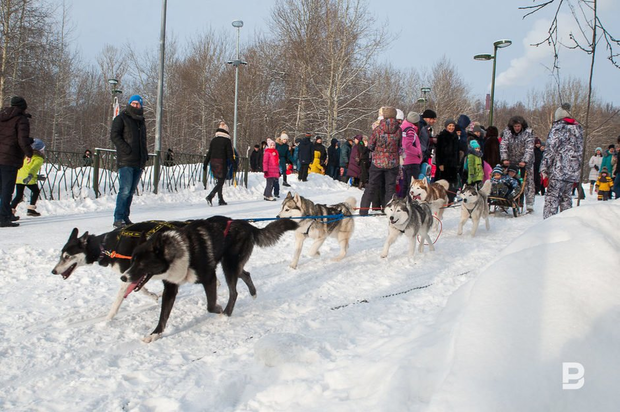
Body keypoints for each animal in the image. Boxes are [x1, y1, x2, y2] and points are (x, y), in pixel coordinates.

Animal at [52, 221, 188, 320]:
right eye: (61, 255)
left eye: (67, 257)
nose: (53, 271)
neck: (105, 247)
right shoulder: (131, 274)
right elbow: (140, 288)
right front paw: (154, 295)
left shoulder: (128, 274)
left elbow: (118, 300)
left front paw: (106, 321)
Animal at [121, 217, 298, 342]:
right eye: (132, 261)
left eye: (142, 263)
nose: (123, 277)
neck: (180, 251)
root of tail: (246, 224)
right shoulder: (171, 287)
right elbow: (163, 315)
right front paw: (154, 334)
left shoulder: (209, 278)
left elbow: (211, 306)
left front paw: (219, 310)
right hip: (232, 265)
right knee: (245, 274)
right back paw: (253, 293)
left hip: (229, 266)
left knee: (234, 292)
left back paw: (226, 313)